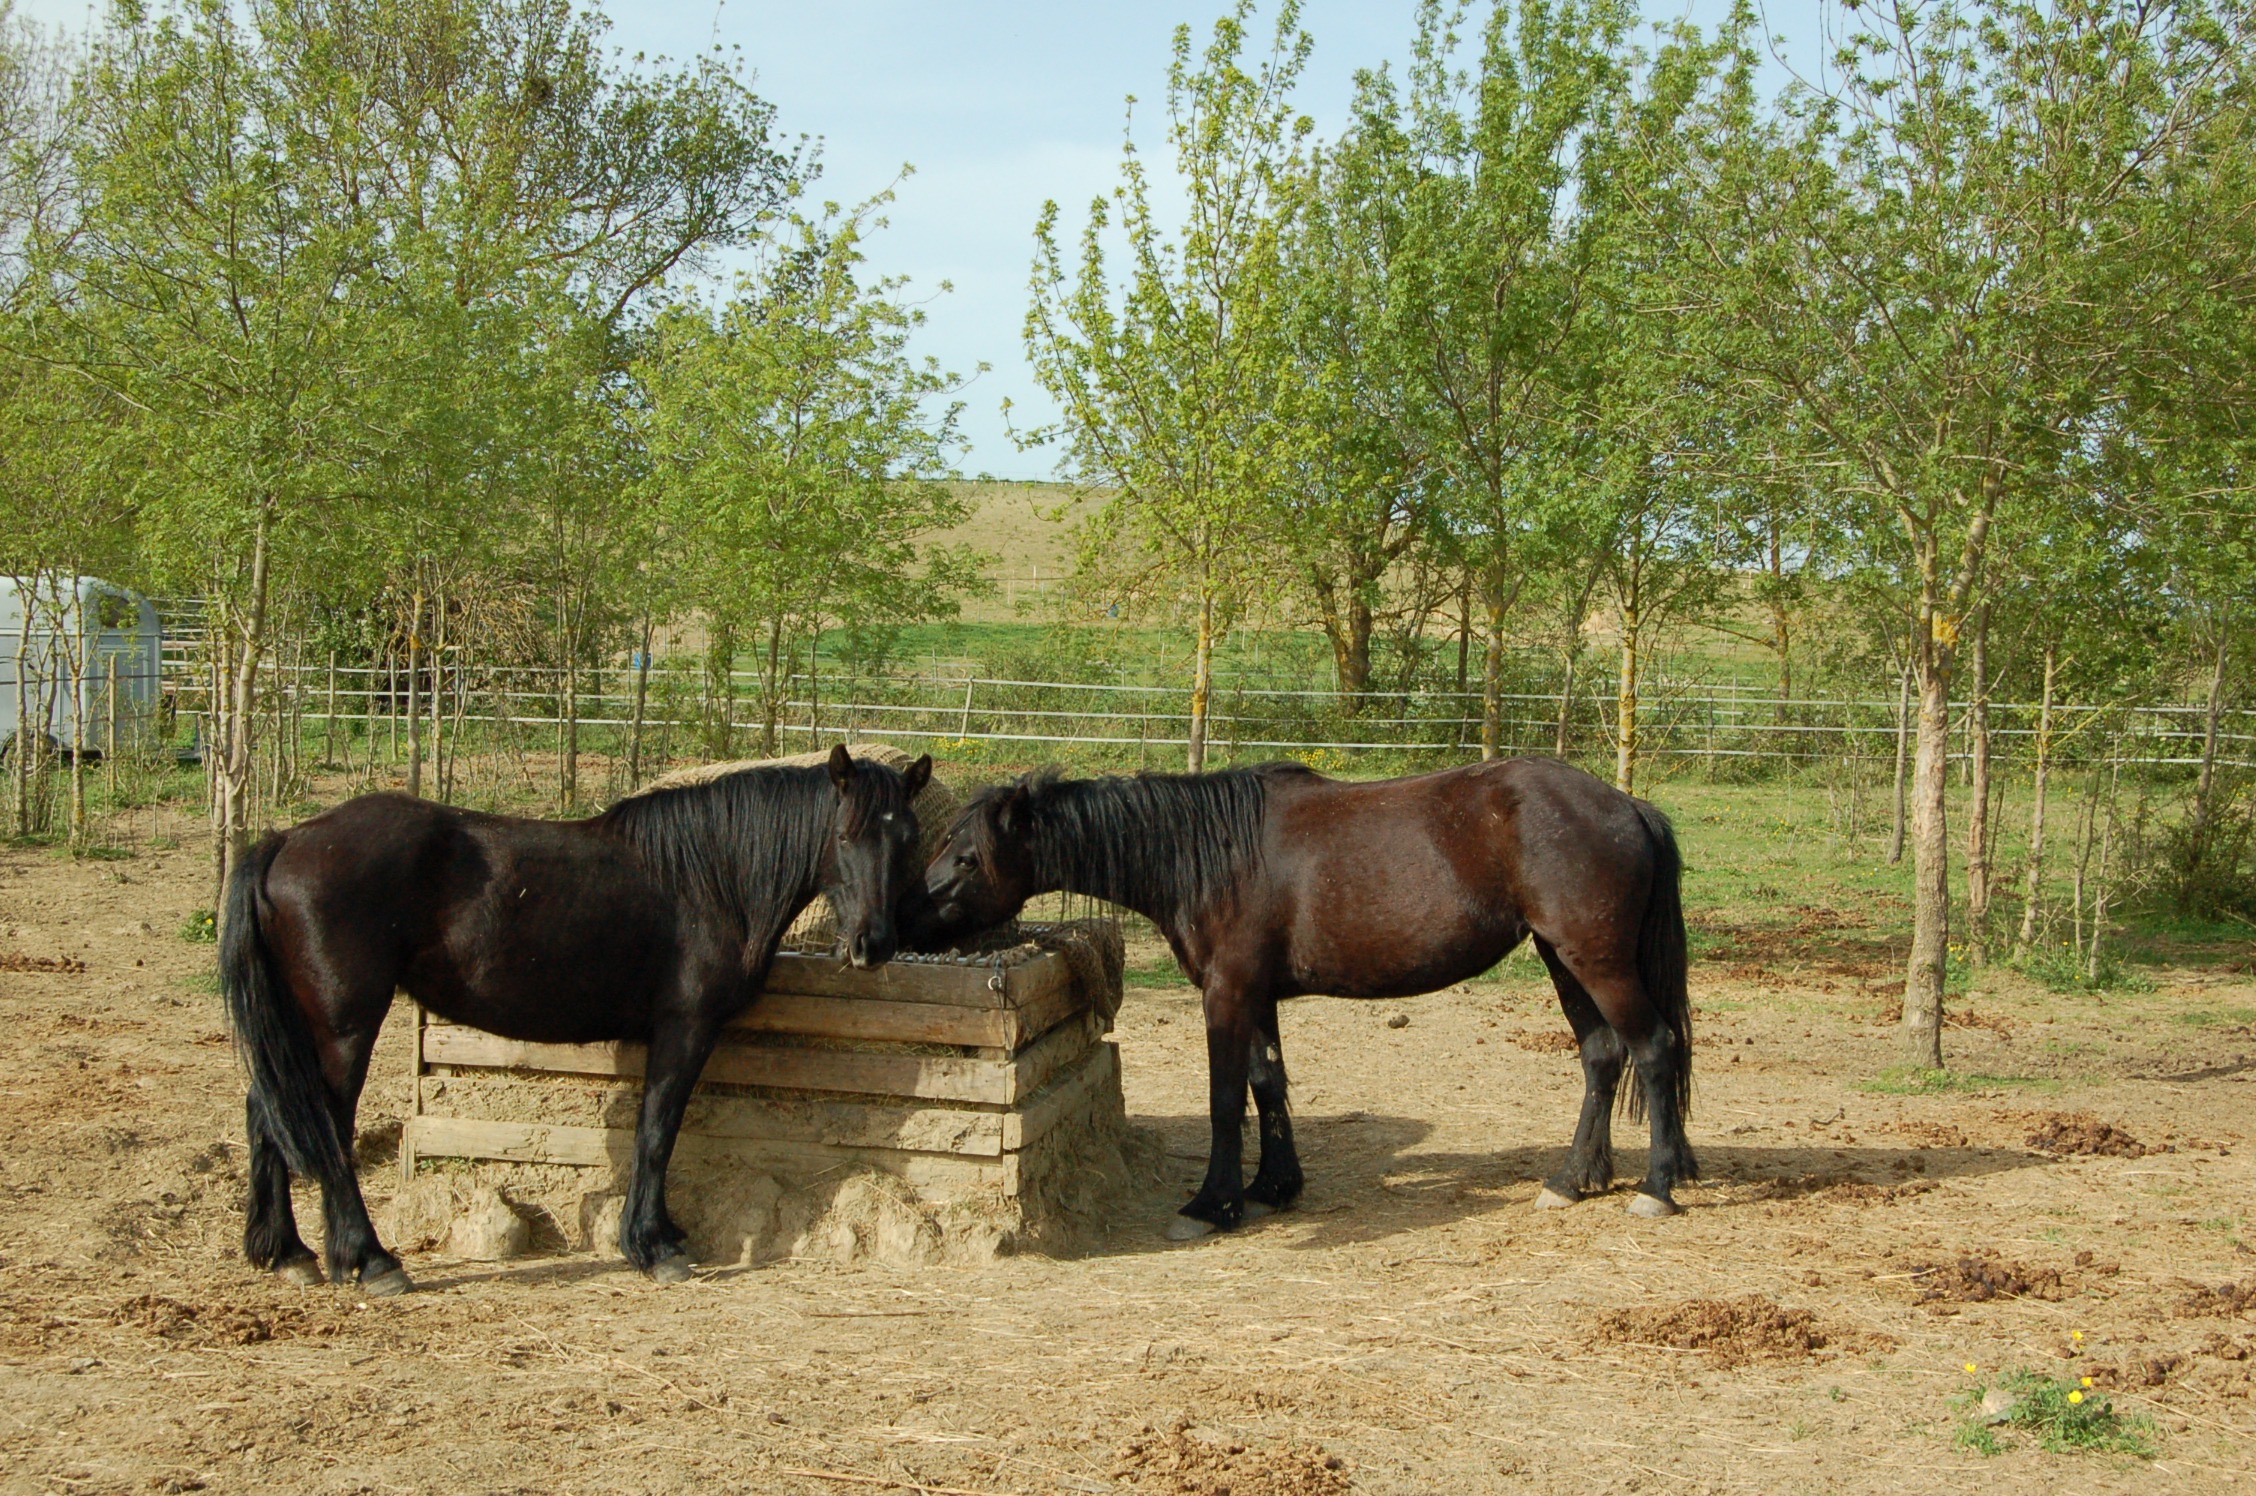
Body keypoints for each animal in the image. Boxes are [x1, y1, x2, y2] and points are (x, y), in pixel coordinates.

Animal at [224, 744, 929, 1290]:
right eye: (845, 835)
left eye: (907, 840)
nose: (873, 945)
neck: (707, 879)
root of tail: (286, 839)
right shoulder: (684, 1029)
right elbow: (656, 1132)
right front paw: (652, 1245)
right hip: (345, 1027)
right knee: (323, 1126)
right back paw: (371, 1261)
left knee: (266, 1112)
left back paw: (288, 1254)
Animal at [902, 762, 1696, 1236]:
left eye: (966, 857)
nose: (907, 916)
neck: (1212, 853)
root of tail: (1627, 805)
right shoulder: (1257, 995)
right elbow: (1267, 1082)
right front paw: (1272, 1187)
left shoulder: (1227, 993)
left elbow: (1227, 1097)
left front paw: (1212, 1203)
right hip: (1564, 960)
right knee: (1602, 1056)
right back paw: (1573, 1180)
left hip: (1596, 962)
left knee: (1653, 1049)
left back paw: (1656, 1189)